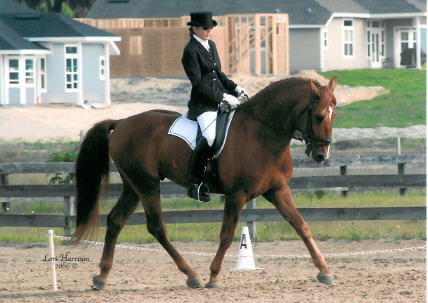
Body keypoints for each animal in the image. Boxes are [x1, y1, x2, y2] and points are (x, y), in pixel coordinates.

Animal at [73, 75, 338, 290]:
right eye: (319, 116)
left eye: (334, 114)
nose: (322, 155)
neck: (262, 134)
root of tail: (121, 122)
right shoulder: (237, 195)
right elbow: (227, 235)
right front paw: (213, 277)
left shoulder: (278, 191)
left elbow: (301, 226)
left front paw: (324, 271)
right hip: (147, 184)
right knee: (156, 227)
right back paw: (192, 275)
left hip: (133, 185)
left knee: (116, 220)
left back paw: (102, 277)